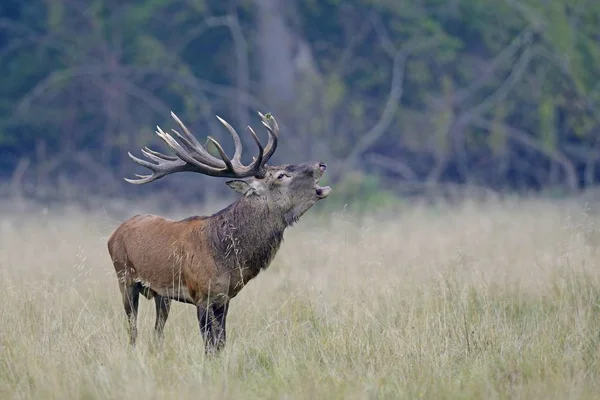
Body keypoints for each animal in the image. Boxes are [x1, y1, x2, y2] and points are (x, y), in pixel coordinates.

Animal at [108, 109, 332, 354]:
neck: (228, 258)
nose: (321, 164)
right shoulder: (202, 295)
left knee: (158, 330)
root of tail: (114, 233)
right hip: (124, 278)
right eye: (281, 175)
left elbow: (221, 342)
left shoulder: (224, 298)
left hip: (161, 295)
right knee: (133, 328)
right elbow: (209, 345)